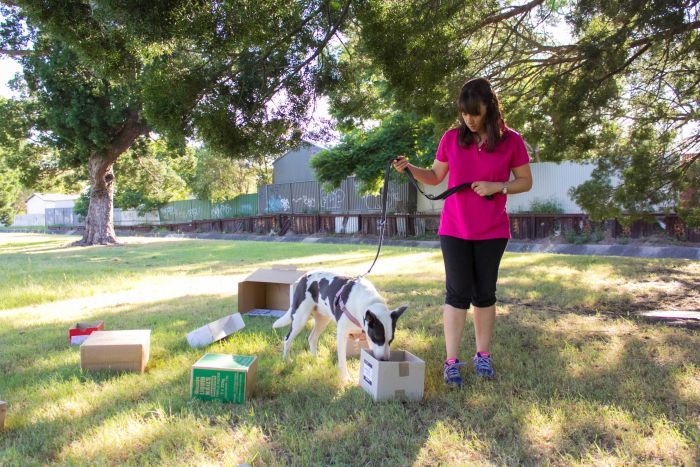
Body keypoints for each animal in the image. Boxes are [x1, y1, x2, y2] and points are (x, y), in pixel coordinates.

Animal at [272, 270, 408, 384]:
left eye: (391, 340)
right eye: (377, 338)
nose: (384, 359)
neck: (368, 303)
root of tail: (303, 277)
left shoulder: (367, 334)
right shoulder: (343, 335)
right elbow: (342, 360)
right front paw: (345, 378)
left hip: (322, 320)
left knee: (312, 338)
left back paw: (315, 359)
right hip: (300, 318)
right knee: (287, 339)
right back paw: (287, 360)